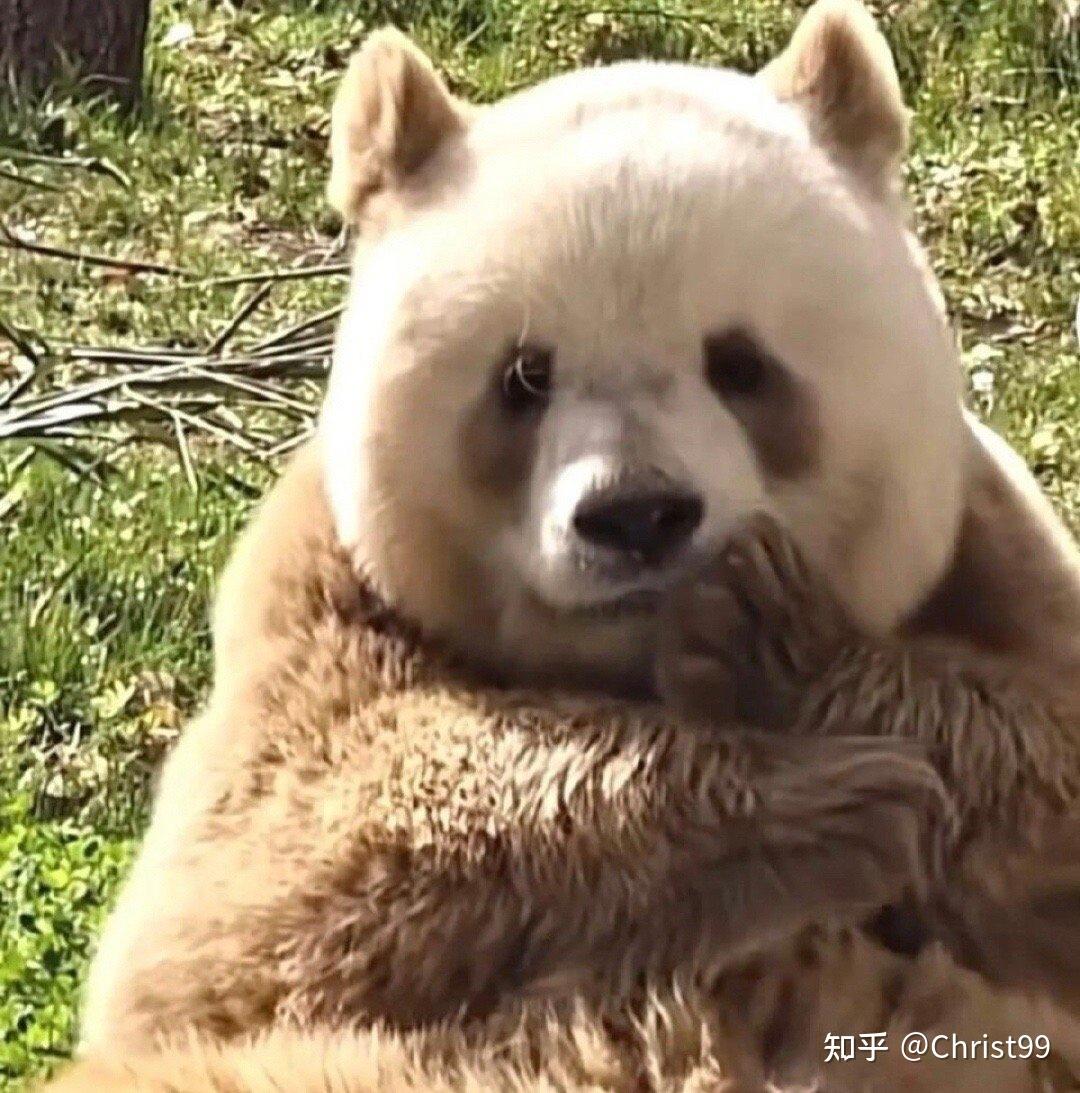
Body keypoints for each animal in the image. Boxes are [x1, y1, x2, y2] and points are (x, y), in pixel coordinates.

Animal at [46, 0, 1080, 1088]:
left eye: (741, 362)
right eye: (524, 375)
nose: (638, 516)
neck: (634, 674)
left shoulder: (1002, 573)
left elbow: (1050, 784)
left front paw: (779, 642)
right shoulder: (315, 611)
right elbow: (268, 885)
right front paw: (833, 794)